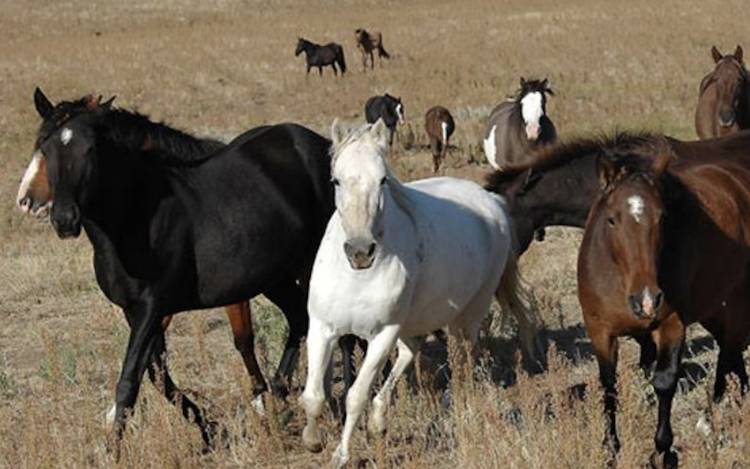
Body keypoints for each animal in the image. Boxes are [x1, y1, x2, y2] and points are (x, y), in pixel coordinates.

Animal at [27, 88, 338, 454]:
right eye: (44, 147)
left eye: (90, 149)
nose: (63, 219)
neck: (136, 215)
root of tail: (318, 144)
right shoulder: (134, 311)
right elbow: (157, 375)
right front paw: (209, 429)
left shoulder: (152, 306)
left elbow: (129, 381)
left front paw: (114, 449)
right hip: (273, 276)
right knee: (300, 320)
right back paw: (278, 400)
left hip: (314, 261)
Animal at [299, 119, 541, 468]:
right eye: (336, 180)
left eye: (383, 179)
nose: (360, 251)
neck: (356, 277)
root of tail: (492, 203)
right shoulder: (322, 328)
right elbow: (313, 396)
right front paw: (312, 441)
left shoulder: (383, 334)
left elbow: (355, 396)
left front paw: (340, 455)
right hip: (415, 321)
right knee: (411, 351)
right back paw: (379, 421)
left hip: (468, 314)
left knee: (463, 356)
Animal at [579, 144, 750, 468]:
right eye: (612, 219)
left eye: (661, 218)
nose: (647, 300)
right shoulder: (600, 332)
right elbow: (608, 387)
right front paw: (610, 450)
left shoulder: (671, 324)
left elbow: (664, 381)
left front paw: (661, 451)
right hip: (713, 309)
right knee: (731, 349)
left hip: (735, 301)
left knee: (730, 349)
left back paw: (711, 419)